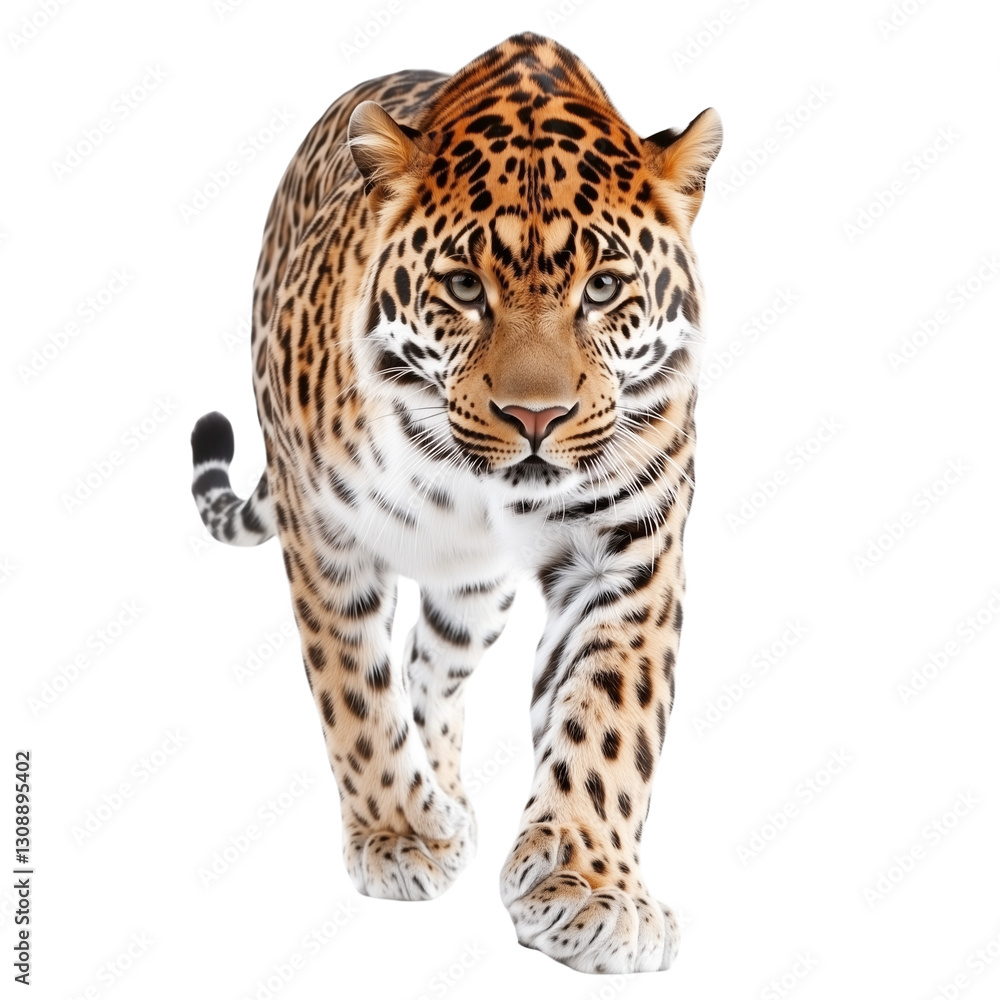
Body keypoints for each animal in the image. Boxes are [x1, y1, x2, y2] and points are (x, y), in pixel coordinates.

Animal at [190, 32, 721, 974]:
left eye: (603, 289)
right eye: (466, 289)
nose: (536, 417)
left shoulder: (627, 555)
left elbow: (608, 721)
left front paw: (591, 888)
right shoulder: (325, 540)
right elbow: (355, 700)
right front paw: (399, 837)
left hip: (475, 594)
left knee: (431, 668)